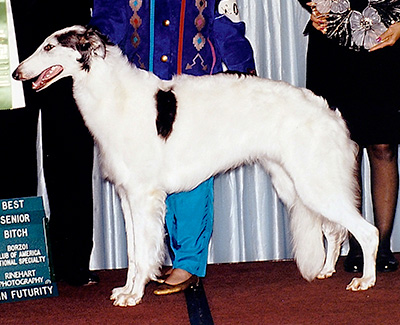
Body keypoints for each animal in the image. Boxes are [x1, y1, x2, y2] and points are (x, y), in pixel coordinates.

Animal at [12, 26, 380, 306]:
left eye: (48, 47)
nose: (16, 73)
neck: (113, 94)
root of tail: (332, 114)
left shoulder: (144, 197)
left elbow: (143, 253)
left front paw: (134, 295)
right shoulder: (127, 196)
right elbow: (132, 253)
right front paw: (126, 289)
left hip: (314, 184)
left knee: (367, 231)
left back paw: (366, 280)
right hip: (297, 185)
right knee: (335, 230)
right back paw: (327, 269)